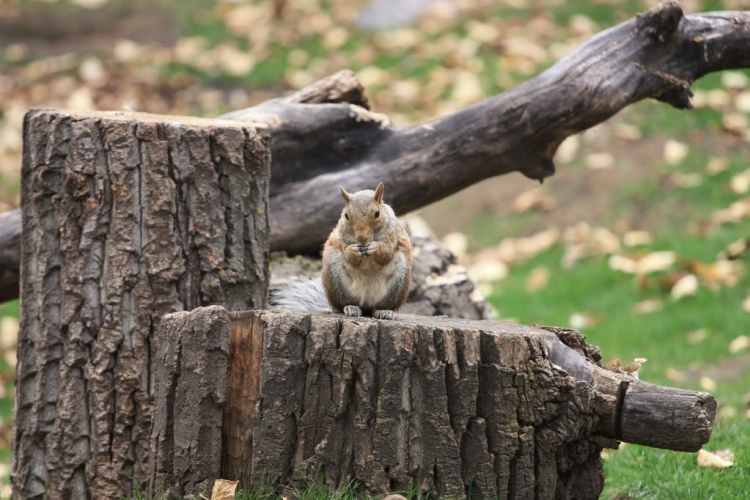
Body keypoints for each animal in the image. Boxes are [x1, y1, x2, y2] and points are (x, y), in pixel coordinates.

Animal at [270, 184, 414, 320]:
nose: (361, 238)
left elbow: (386, 253)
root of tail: (366, 304)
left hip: (398, 283)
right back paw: (351, 307)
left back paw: (384, 311)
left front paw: (375, 248)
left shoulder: (392, 235)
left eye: (377, 213)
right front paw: (352, 250)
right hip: (335, 277)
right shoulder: (342, 236)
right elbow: (348, 254)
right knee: (344, 305)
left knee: (378, 307)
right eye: (346, 215)